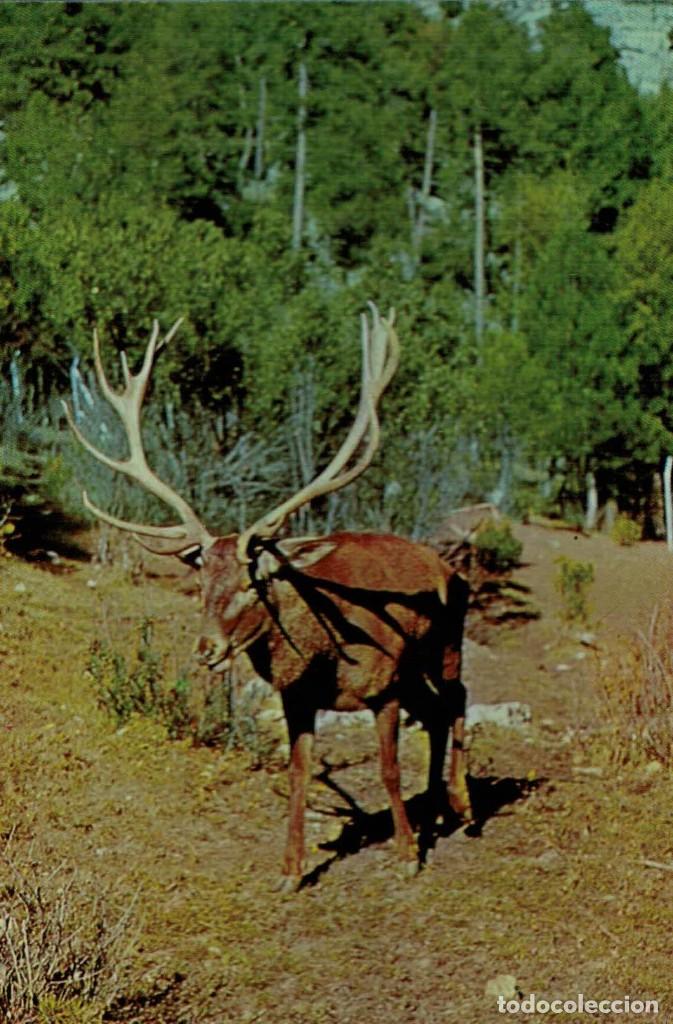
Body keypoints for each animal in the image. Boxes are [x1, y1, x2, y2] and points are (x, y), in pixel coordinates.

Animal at [64, 305, 473, 891]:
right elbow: (299, 773)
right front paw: (291, 871)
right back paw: (439, 809)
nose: (207, 649)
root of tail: (449, 567)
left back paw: (462, 808)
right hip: (419, 671)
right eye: (201, 584)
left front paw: (405, 854)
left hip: (445, 646)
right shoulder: (297, 698)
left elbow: (390, 769)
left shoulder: (385, 685)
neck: (328, 660)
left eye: (252, 582)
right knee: (439, 715)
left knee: (457, 699)